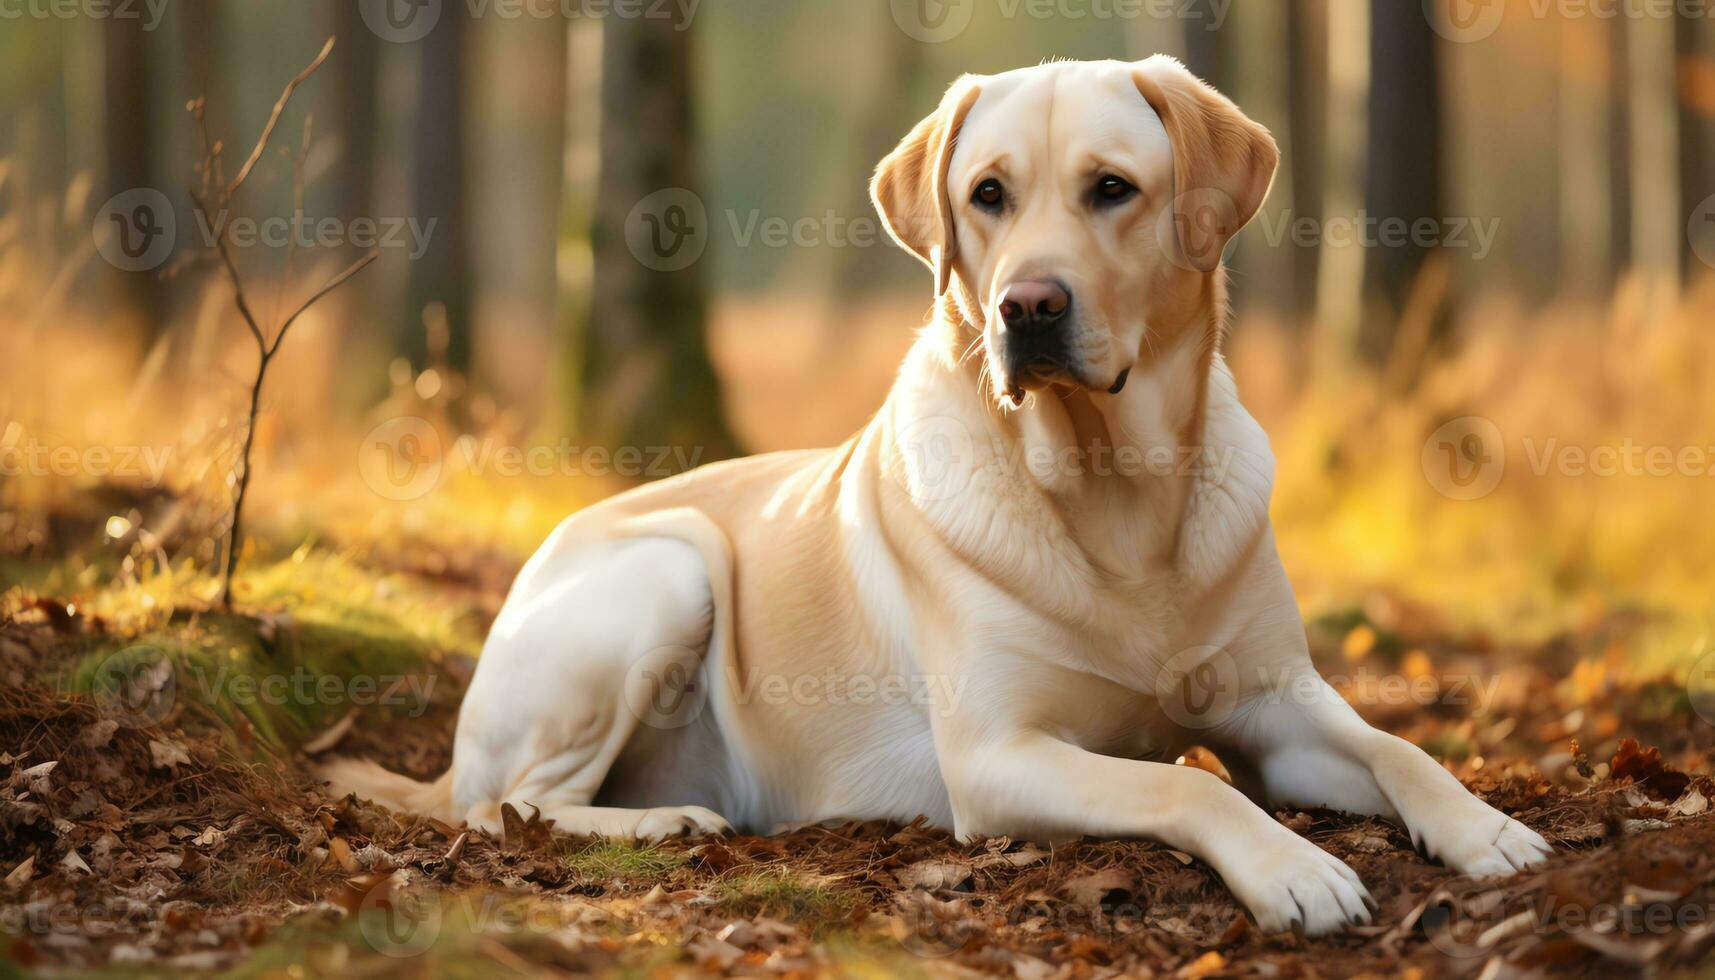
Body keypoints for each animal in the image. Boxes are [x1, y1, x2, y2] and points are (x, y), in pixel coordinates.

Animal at [324, 57, 1557, 940]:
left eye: (1112, 189)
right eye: (986, 196)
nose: (1027, 307)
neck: (1115, 493)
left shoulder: (1272, 704)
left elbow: (1395, 748)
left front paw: (1486, 826)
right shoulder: (997, 756)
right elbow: (1194, 793)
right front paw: (1296, 869)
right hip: (665, 568)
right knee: (504, 804)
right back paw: (663, 818)